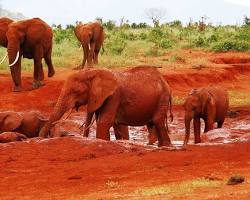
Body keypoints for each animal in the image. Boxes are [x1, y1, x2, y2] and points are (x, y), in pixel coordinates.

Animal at [39, 66, 173, 146]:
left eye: (76, 91)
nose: (41, 138)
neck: (93, 72)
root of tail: (164, 80)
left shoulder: (114, 96)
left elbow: (104, 121)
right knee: (152, 123)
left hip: (163, 97)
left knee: (157, 121)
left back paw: (166, 146)